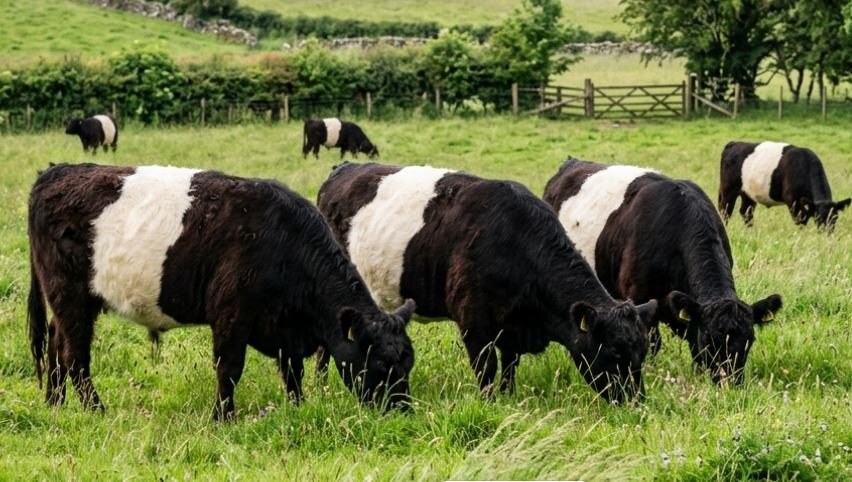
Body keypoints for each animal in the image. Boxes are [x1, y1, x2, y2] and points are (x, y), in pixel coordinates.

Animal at [27, 163, 416, 420]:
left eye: (408, 362)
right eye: (379, 363)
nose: (402, 411)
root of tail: (57, 171)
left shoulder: (285, 330)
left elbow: (293, 372)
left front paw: (297, 407)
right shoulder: (231, 316)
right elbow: (229, 369)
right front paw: (223, 417)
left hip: (69, 301)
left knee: (55, 344)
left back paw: (55, 404)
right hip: (70, 296)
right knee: (75, 357)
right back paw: (96, 410)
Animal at [317, 162, 657, 403]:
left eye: (642, 352)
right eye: (614, 352)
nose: (636, 402)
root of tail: (345, 168)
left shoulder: (511, 328)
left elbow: (509, 367)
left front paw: (507, 398)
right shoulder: (474, 321)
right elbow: (487, 368)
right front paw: (489, 403)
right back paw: (321, 386)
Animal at [543, 158, 783, 385]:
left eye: (749, 341)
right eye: (709, 341)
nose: (728, 383)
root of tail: (571, 163)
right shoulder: (640, 299)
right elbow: (653, 344)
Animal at [719, 141, 850, 229]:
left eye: (835, 217)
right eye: (818, 218)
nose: (827, 232)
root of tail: (734, 143)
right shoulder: (792, 200)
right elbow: (800, 220)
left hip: (748, 194)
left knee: (745, 212)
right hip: (728, 190)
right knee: (725, 211)